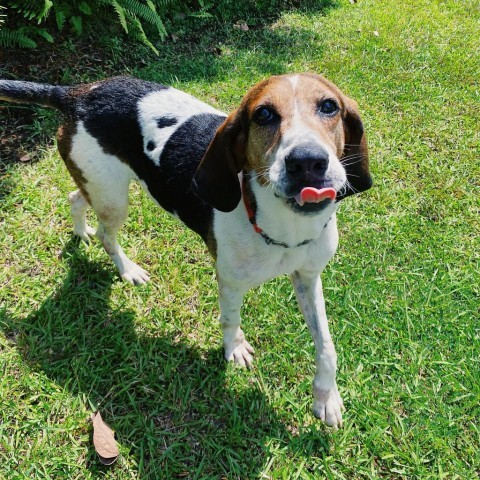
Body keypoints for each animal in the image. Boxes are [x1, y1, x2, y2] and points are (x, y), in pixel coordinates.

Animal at [0, 74, 372, 428]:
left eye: (329, 106)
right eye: (263, 114)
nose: (307, 161)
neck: (288, 231)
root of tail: (77, 93)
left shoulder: (308, 277)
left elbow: (326, 345)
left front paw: (326, 397)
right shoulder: (230, 282)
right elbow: (230, 320)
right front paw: (234, 349)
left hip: (98, 188)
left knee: (75, 199)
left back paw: (81, 232)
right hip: (113, 197)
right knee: (107, 235)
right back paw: (127, 269)